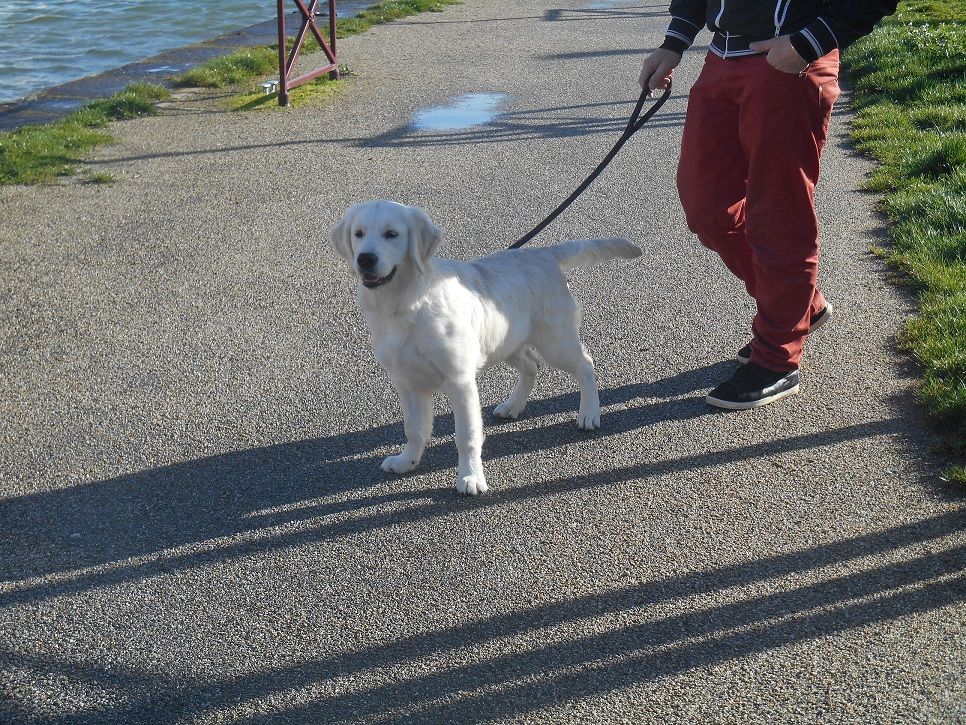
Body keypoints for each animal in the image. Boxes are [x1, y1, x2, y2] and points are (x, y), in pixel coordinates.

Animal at [332, 198, 644, 494]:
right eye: (359, 234)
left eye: (391, 234)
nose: (365, 259)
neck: (406, 303)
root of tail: (542, 253)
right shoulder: (406, 381)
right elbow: (414, 429)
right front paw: (406, 461)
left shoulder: (460, 381)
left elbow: (467, 436)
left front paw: (470, 477)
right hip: (506, 342)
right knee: (532, 366)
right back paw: (513, 405)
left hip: (555, 342)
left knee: (585, 365)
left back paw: (589, 413)